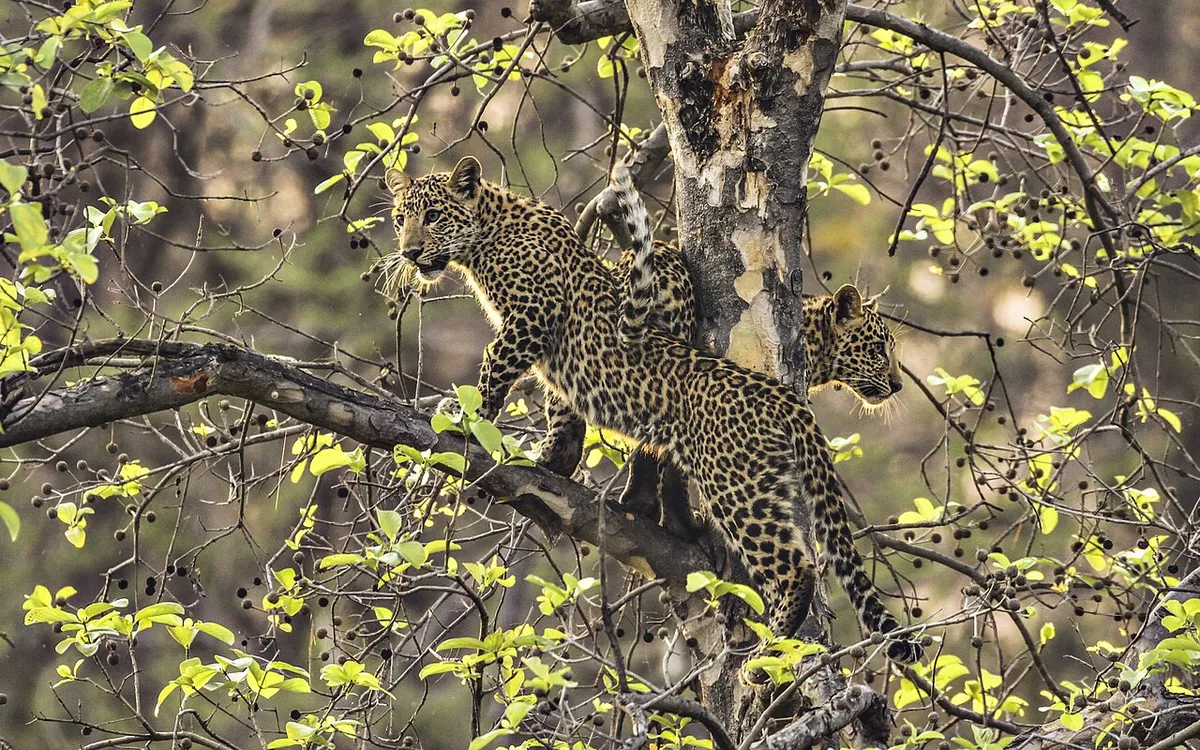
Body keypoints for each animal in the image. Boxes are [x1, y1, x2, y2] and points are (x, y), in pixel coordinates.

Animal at [383, 157, 922, 663]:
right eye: (401, 219)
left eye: (433, 217)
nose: (409, 252)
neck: (487, 237)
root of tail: (781, 395)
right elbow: (560, 404)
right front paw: (553, 458)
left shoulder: (532, 317)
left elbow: (495, 369)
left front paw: (465, 419)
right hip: (761, 482)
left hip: (736, 486)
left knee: (794, 566)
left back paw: (768, 648)